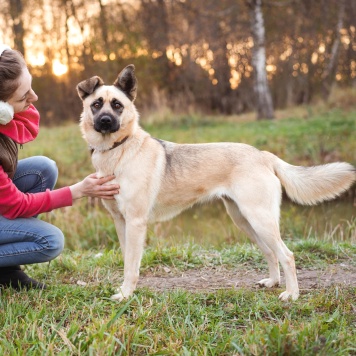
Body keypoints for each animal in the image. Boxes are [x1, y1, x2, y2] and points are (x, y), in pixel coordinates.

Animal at [76, 65, 354, 302]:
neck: (117, 151)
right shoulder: (120, 221)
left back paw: (291, 294)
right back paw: (273, 282)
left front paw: (126, 295)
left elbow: (132, 265)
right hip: (244, 220)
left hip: (259, 219)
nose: (105, 121)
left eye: (117, 105)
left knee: (287, 255)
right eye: (97, 104)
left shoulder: (135, 223)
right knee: (270, 252)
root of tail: (263, 155)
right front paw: (126, 290)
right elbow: (127, 261)